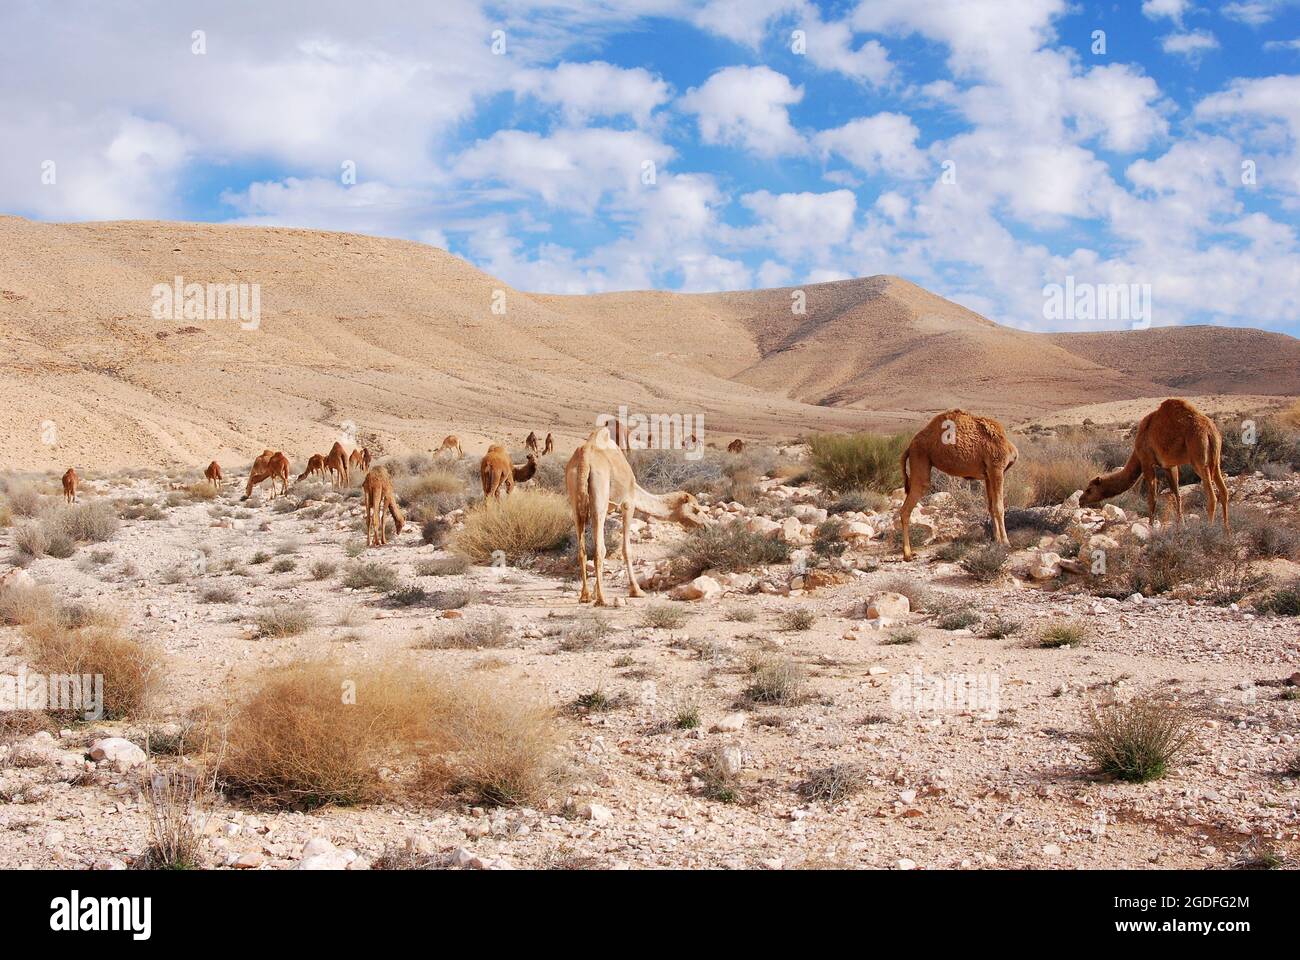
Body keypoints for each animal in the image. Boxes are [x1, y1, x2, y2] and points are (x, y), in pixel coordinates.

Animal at [566, 427, 708, 606]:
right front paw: (636, 590)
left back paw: (585, 596)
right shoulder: (628, 504)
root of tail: (585, 459)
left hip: (575, 500)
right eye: (696, 509)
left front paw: (593, 591)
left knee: (582, 548)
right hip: (600, 497)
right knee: (599, 549)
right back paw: (602, 599)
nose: (706, 526)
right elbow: (627, 549)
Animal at [899, 410, 1019, 561]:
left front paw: (996, 540)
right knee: (906, 509)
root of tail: (909, 447)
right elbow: (999, 507)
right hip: (920, 458)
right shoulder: (996, 468)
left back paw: (908, 553)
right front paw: (1005, 542)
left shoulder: (988, 475)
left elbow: (991, 507)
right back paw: (907, 554)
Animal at [1080, 398, 1230, 532]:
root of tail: (1210, 432)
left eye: (1089, 489)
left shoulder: (1147, 461)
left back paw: (1209, 529)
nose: (1081, 500)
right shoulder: (1169, 466)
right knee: (1224, 491)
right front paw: (1181, 524)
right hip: (1215, 461)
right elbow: (1177, 494)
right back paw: (1226, 531)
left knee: (1212, 496)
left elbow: (1152, 498)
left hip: (1199, 460)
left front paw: (1150, 526)